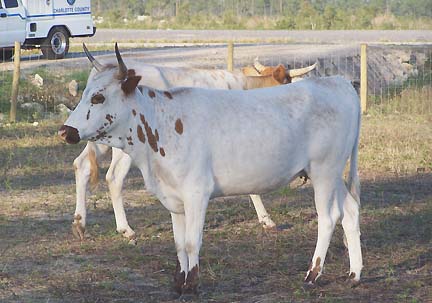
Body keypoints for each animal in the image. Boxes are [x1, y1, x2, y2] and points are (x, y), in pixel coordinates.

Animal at [70, 44, 314, 243]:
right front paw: (266, 219)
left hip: (97, 137)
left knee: (82, 165)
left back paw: (80, 224)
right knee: (114, 177)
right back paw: (125, 229)